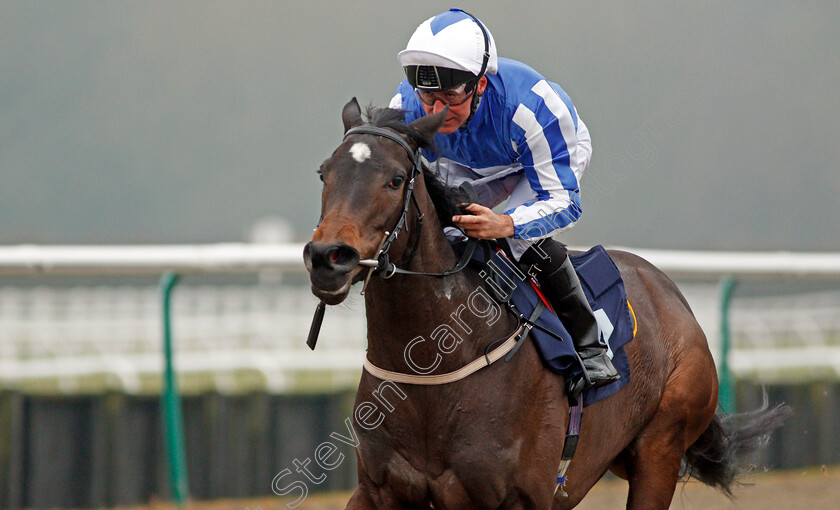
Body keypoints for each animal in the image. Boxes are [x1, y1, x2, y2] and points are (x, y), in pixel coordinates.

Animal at [306, 97, 792, 508]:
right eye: (324, 173)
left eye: (394, 180)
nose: (329, 257)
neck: (433, 367)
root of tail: (672, 295)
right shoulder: (378, 490)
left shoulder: (520, 497)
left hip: (660, 449)